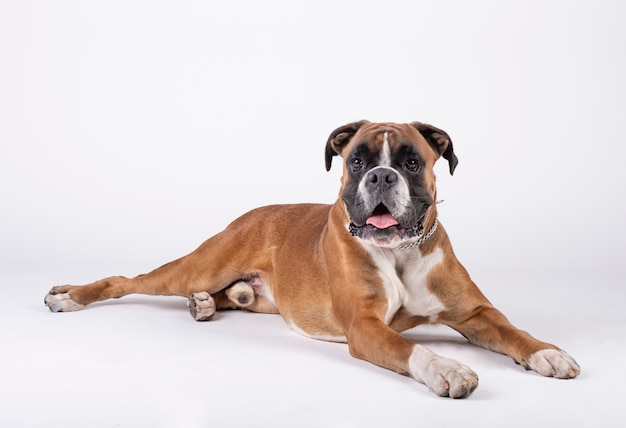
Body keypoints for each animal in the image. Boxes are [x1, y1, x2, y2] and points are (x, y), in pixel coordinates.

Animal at [45, 120, 580, 398]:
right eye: (357, 160)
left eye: (411, 161)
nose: (381, 176)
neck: (400, 253)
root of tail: (252, 213)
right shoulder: (365, 327)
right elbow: (413, 348)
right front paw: (448, 369)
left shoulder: (475, 314)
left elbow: (512, 330)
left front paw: (547, 352)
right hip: (199, 265)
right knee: (127, 279)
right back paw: (71, 295)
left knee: (232, 295)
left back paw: (206, 304)